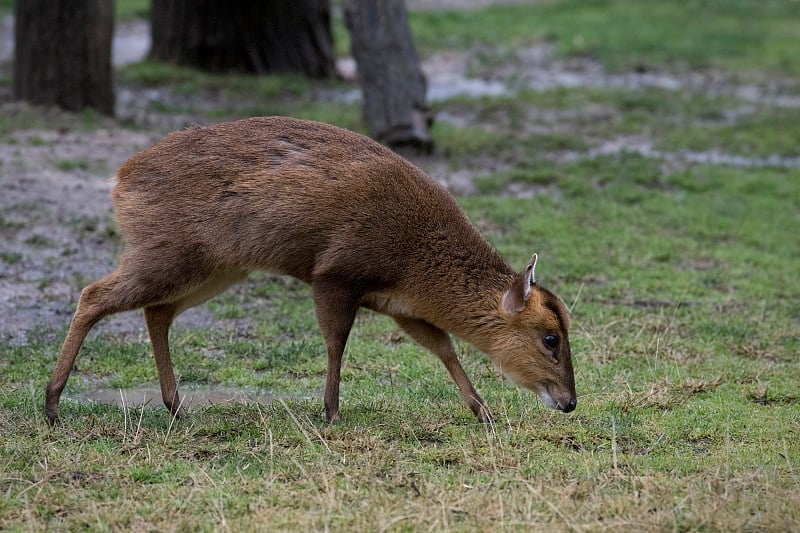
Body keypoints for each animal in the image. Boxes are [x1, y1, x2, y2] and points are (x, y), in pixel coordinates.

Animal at [45, 116, 576, 424]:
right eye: (550, 337)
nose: (570, 401)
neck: (413, 261)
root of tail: (118, 180)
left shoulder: (401, 306)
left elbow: (443, 347)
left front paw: (481, 410)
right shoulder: (335, 273)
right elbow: (336, 340)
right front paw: (332, 411)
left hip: (212, 267)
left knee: (156, 313)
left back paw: (176, 407)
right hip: (170, 253)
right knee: (94, 294)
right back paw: (52, 403)